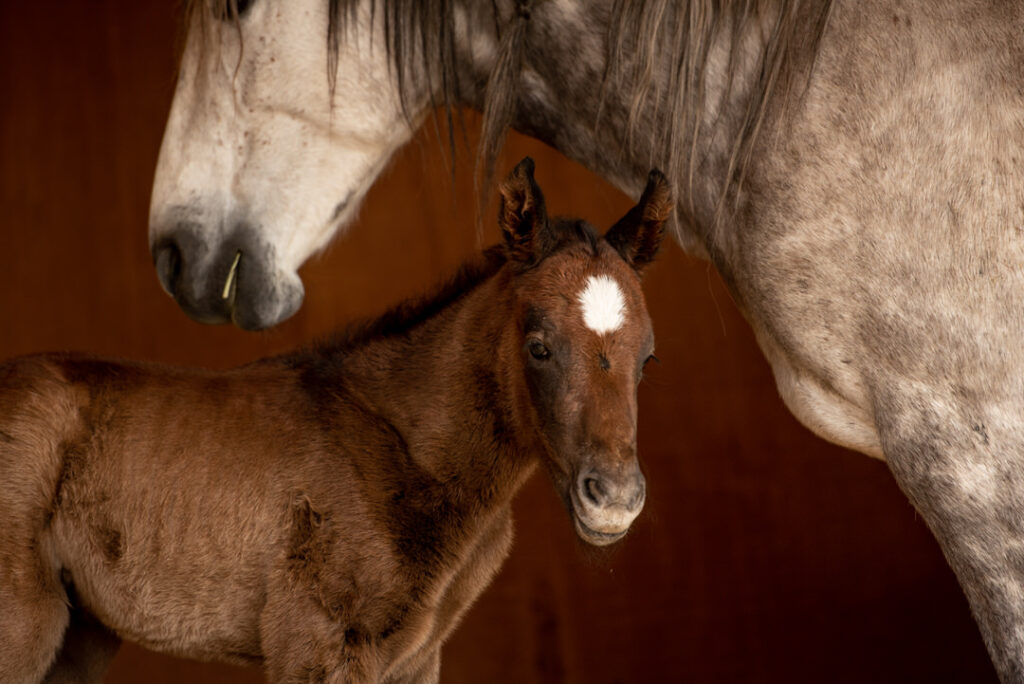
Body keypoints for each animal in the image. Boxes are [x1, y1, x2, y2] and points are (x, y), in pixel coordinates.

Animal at [0, 160, 671, 684]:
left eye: (647, 358)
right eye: (538, 346)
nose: (614, 501)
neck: (406, 449)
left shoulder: (415, 658)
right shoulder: (317, 643)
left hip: (79, 635)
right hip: (22, 625)